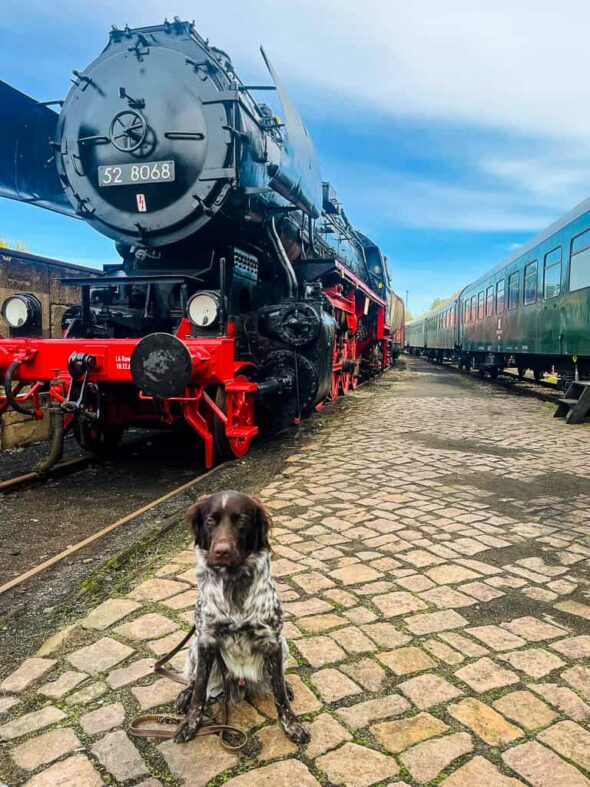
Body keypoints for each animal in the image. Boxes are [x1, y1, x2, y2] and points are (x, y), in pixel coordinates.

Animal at [175, 492, 310, 744]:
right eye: (210, 520)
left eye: (241, 520)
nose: (221, 551)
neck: (233, 583)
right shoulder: (206, 640)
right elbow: (199, 691)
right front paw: (189, 724)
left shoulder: (272, 640)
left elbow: (279, 693)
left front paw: (292, 726)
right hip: (194, 648)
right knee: (194, 681)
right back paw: (183, 697)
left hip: (284, 645)